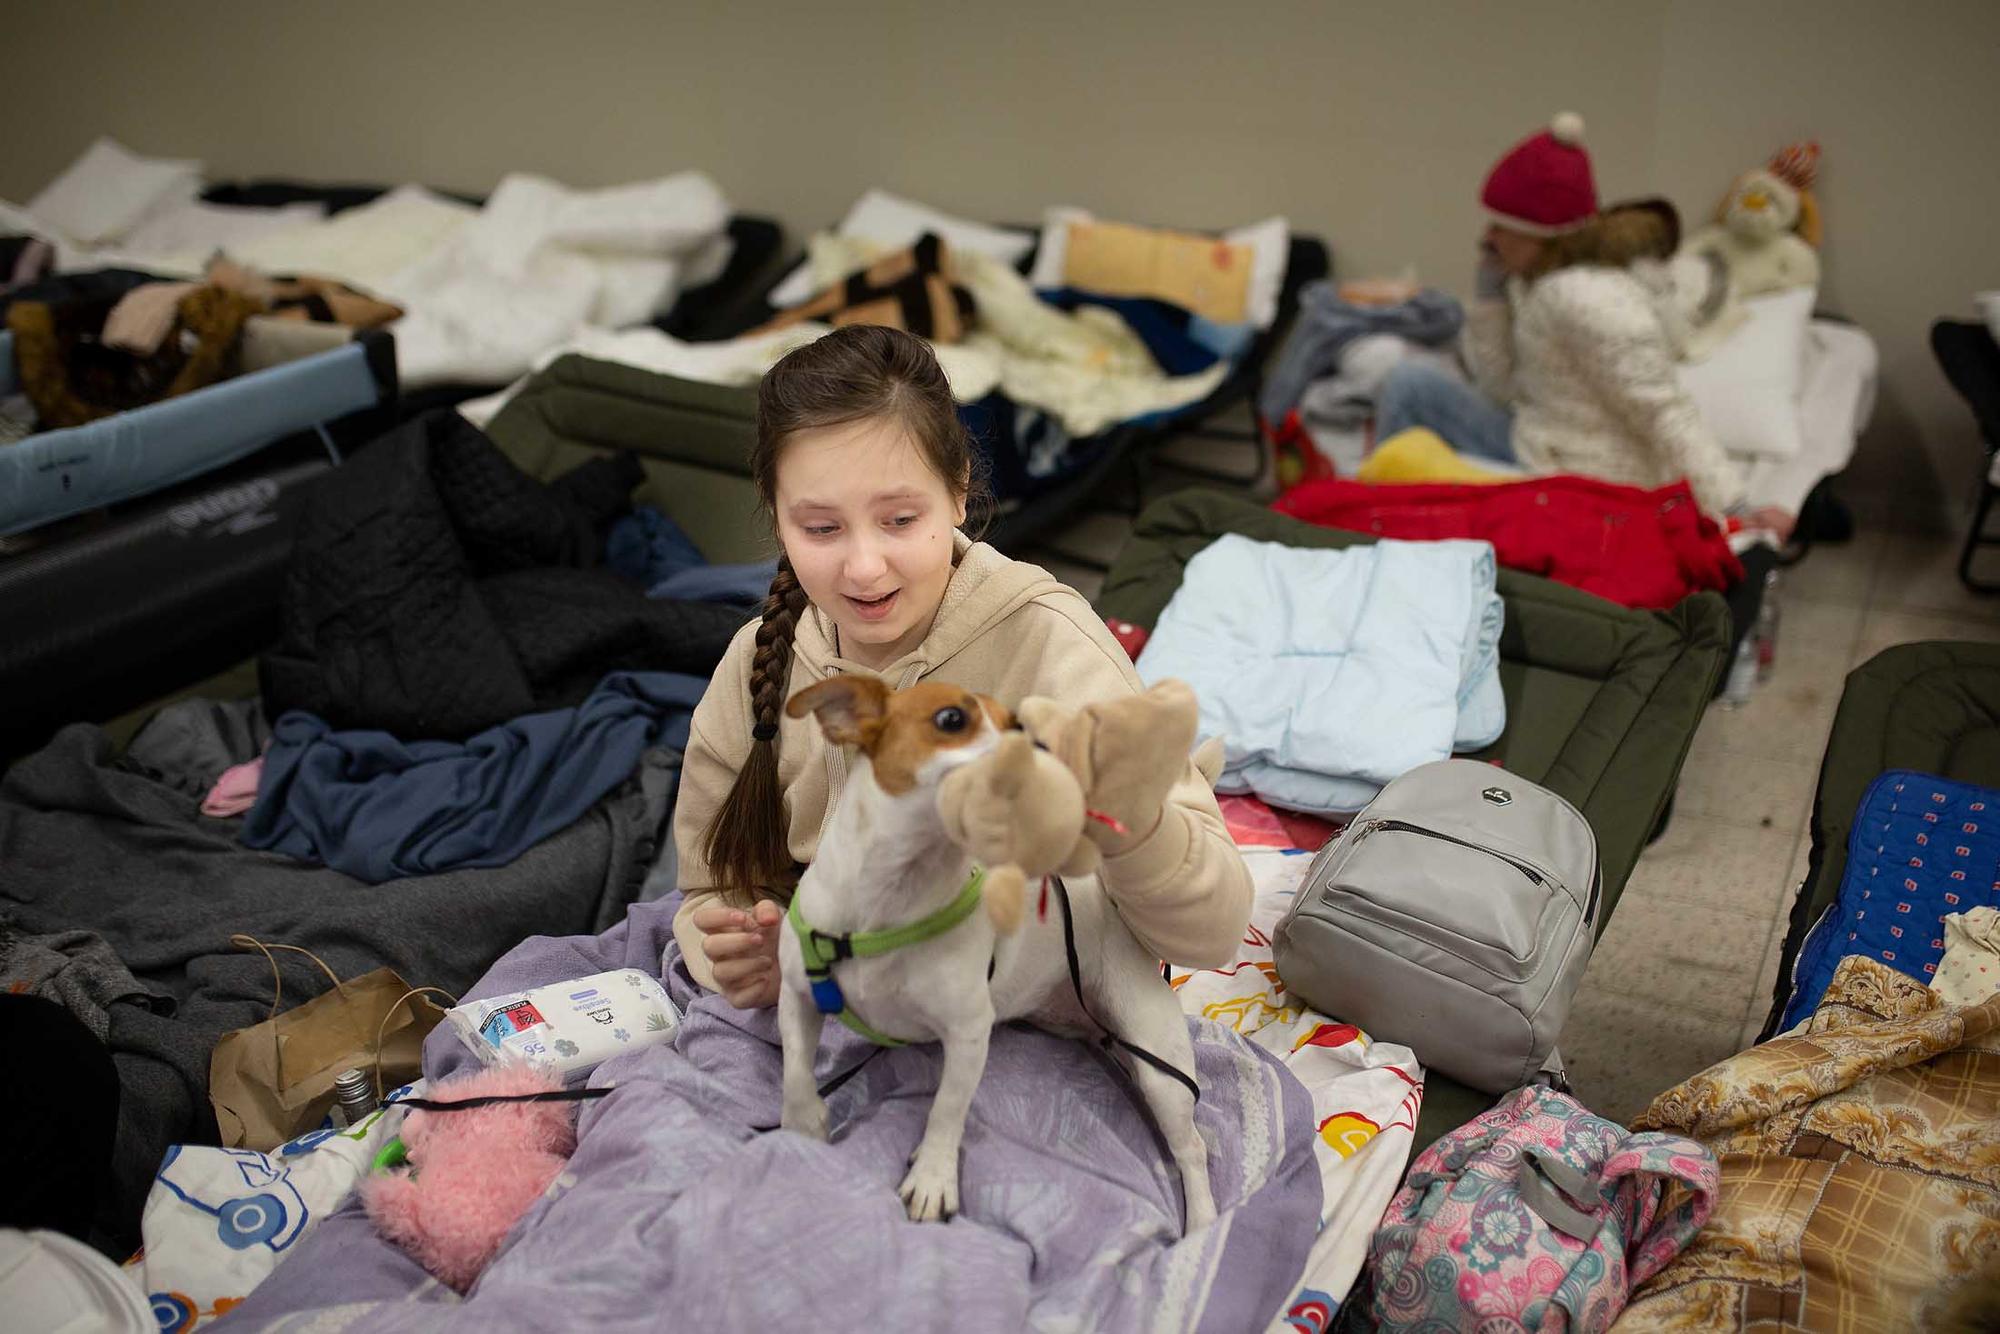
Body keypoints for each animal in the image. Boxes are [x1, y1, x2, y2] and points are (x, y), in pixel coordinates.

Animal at [776, 680, 1216, 1232]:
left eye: (1018, 724)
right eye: (950, 719)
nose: (1045, 750)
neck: (892, 896)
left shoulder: (968, 1035)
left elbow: (946, 1109)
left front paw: (933, 1178)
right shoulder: (797, 995)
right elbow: (795, 1069)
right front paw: (803, 1123)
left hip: (1160, 1066)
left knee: (1193, 1148)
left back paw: (1203, 1224)